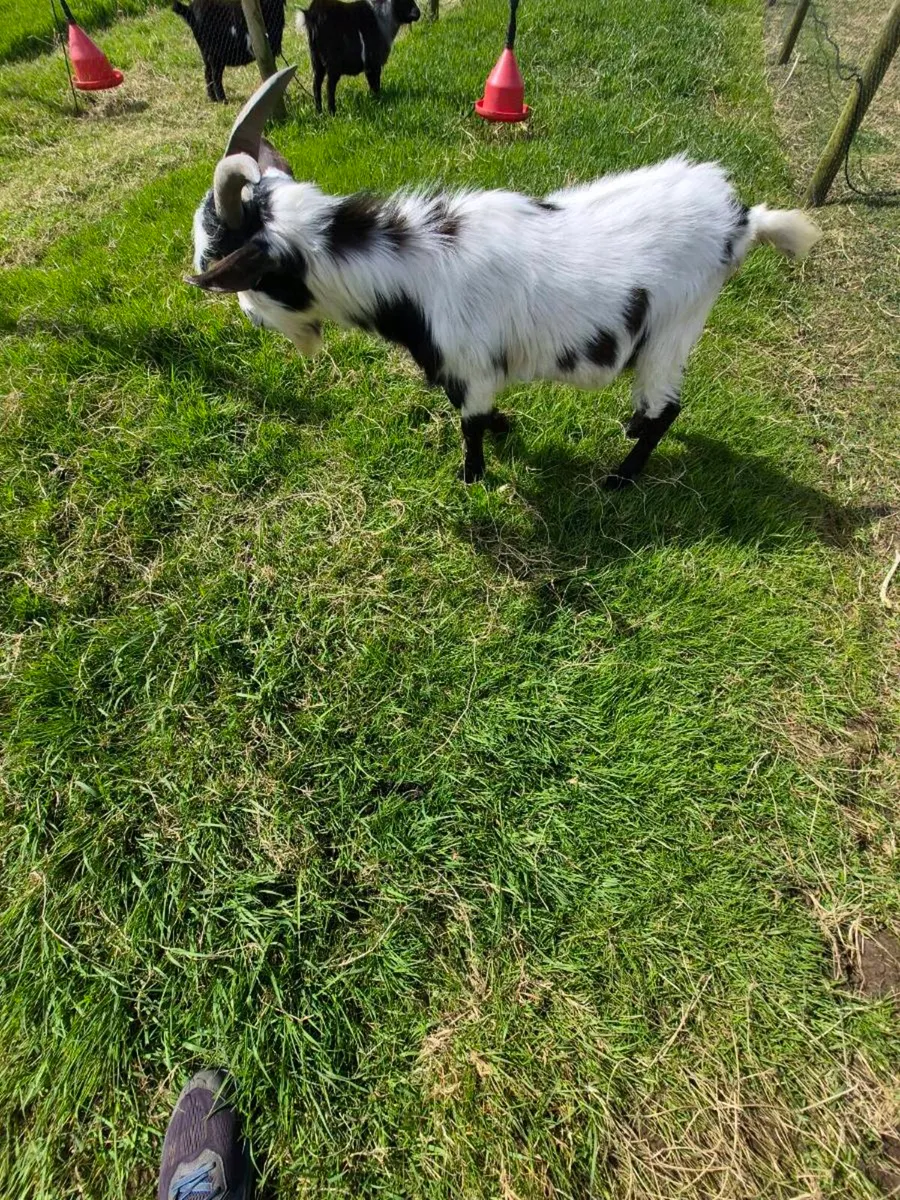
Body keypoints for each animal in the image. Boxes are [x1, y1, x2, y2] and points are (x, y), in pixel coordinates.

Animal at [187, 68, 822, 487]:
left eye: (220, 256)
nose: (246, 317)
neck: (409, 272)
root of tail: (742, 218)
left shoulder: (466, 366)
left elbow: (469, 424)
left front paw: (472, 477)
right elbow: (484, 415)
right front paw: (507, 428)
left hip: (672, 328)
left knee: (668, 407)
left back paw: (622, 475)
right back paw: (628, 430)